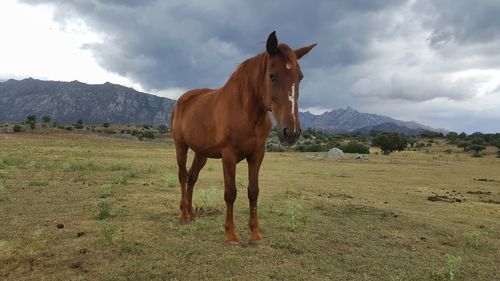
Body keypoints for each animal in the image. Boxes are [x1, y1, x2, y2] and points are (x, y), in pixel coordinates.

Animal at [170, 30, 314, 244]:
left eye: (300, 77)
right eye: (272, 76)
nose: (291, 132)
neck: (244, 111)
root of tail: (182, 100)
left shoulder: (257, 154)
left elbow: (253, 191)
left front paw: (255, 235)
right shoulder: (228, 155)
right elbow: (230, 193)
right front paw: (231, 234)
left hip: (201, 153)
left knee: (192, 177)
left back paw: (191, 213)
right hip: (181, 146)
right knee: (182, 176)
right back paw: (183, 215)